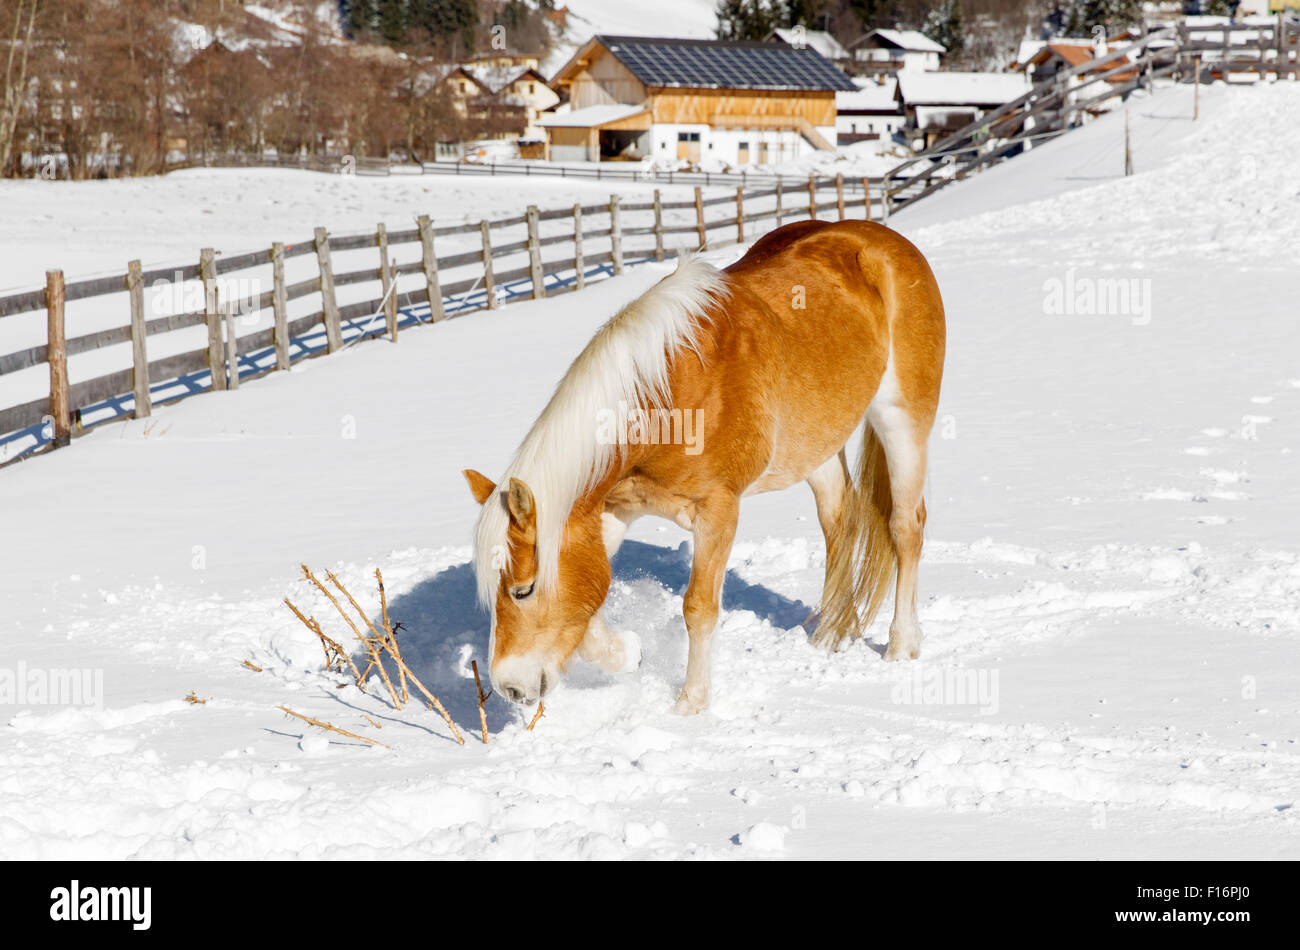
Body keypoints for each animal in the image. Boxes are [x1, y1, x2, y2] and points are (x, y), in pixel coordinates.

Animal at [467, 220, 946, 712]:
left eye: (523, 589)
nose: (510, 687)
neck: (667, 395)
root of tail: (880, 238)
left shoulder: (717, 510)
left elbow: (697, 607)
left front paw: (691, 703)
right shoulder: (612, 511)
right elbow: (590, 605)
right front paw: (629, 653)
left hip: (902, 421)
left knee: (905, 526)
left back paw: (901, 645)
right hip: (818, 447)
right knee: (839, 523)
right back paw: (828, 636)